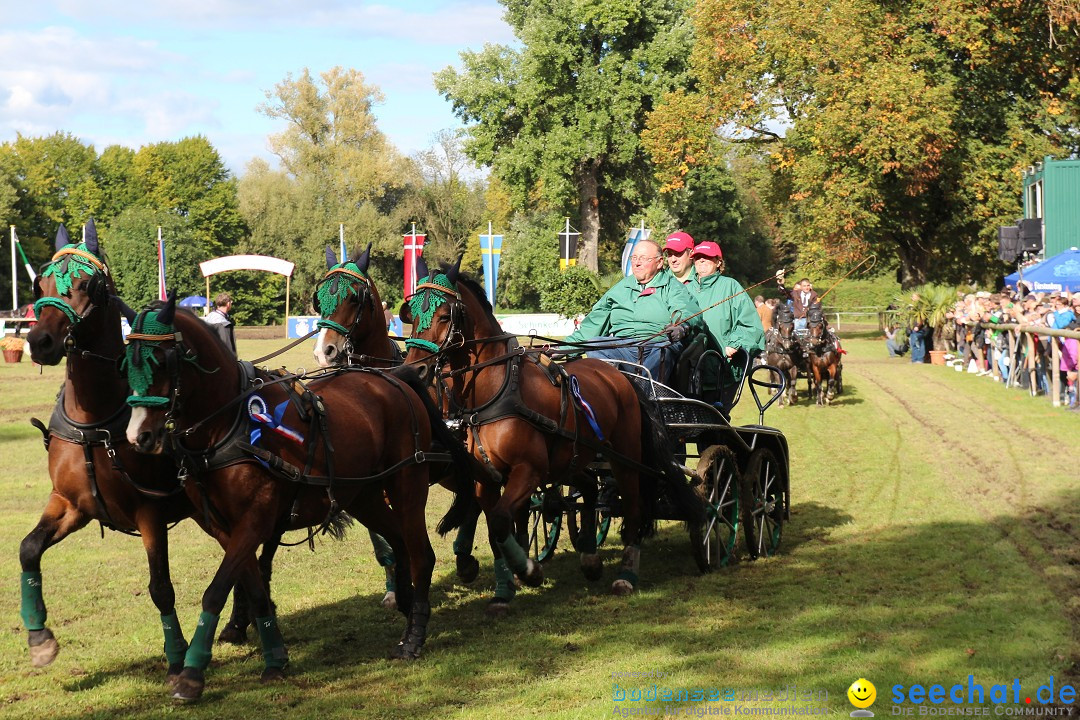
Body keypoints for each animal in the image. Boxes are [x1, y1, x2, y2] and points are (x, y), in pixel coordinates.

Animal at [21, 222, 194, 677]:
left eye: (87, 284)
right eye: (41, 281)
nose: (40, 341)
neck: (93, 420)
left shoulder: (150, 512)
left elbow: (161, 588)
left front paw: (177, 657)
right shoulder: (71, 503)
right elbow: (28, 548)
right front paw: (39, 639)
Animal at [122, 291, 468, 699]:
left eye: (160, 361)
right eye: (126, 362)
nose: (138, 436)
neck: (228, 424)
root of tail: (394, 379)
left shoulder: (256, 519)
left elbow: (217, 589)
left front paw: (192, 673)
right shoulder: (225, 528)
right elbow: (253, 586)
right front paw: (274, 657)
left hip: (407, 484)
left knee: (420, 555)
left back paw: (413, 637)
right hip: (363, 495)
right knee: (397, 542)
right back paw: (405, 603)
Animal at [399, 255, 699, 613]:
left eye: (445, 315)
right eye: (410, 313)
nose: (414, 369)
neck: (497, 390)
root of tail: (621, 375)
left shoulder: (530, 470)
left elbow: (500, 519)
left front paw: (528, 570)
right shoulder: (485, 478)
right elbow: (496, 529)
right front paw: (504, 589)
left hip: (625, 458)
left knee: (634, 507)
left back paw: (626, 574)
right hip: (573, 457)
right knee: (589, 488)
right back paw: (589, 558)